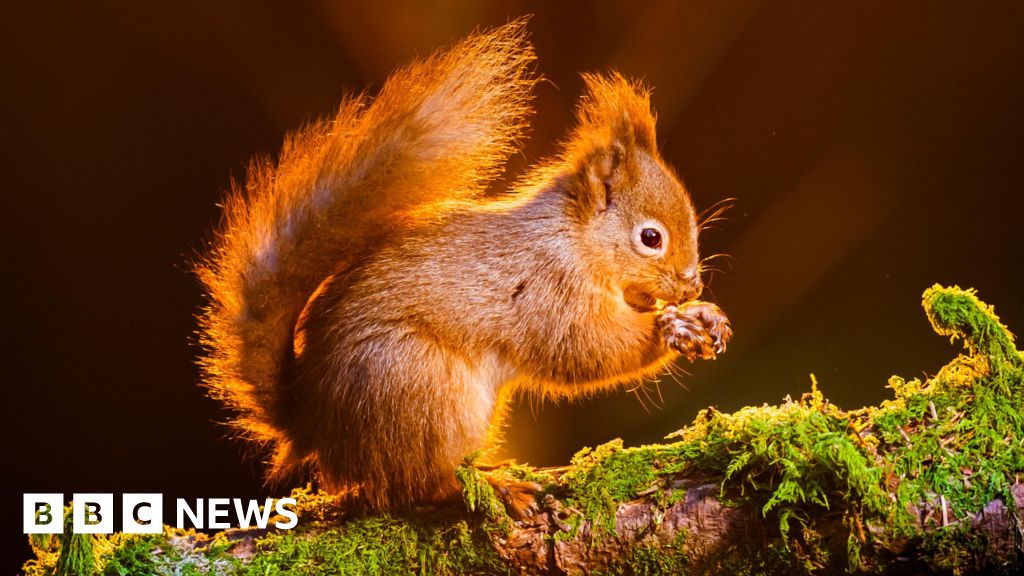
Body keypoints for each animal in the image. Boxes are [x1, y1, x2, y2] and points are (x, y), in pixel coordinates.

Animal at [196, 20, 731, 516]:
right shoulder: (548, 290)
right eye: (651, 238)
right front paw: (670, 328)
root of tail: (313, 425)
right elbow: (585, 349)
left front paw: (705, 316)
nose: (691, 284)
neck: (576, 241)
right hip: (424, 392)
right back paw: (498, 487)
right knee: (421, 483)